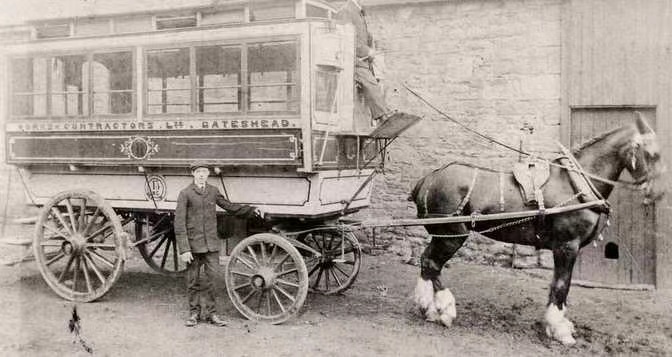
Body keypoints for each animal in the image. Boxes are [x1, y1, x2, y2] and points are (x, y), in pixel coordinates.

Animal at [410, 112, 660, 344]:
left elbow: (557, 285)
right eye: (651, 153)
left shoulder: (564, 249)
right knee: (432, 264)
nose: (657, 193)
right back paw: (444, 311)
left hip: (443, 235)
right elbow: (561, 285)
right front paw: (560, 330)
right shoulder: (567, 246)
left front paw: (555, 325)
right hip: (452, 235)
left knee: (426, 262)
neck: (575, 184)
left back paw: (430, 309)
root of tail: (429, 178)